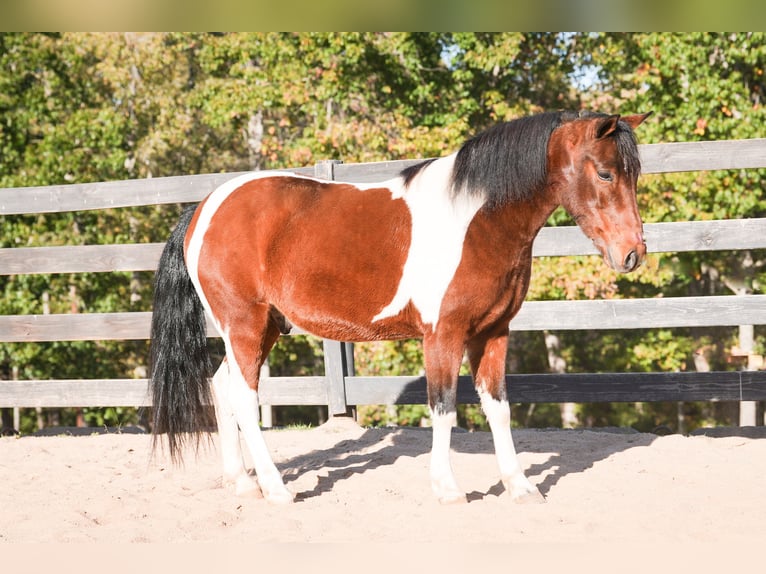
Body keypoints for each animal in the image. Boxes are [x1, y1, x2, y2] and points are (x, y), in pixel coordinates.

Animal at [150, 109, 651, 505]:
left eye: (633, 175)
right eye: (605, 173)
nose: (632, 253)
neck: (477, 222)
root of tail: (203, 208)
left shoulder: (493, 332)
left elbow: (498, 408)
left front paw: (520, 486)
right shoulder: (443, 335)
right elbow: (444, 407)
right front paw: (448, 489)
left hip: (262, 328)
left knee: (221, 388)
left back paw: (243, 483)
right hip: (245, 326)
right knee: (243, 397)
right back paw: (276, 489)